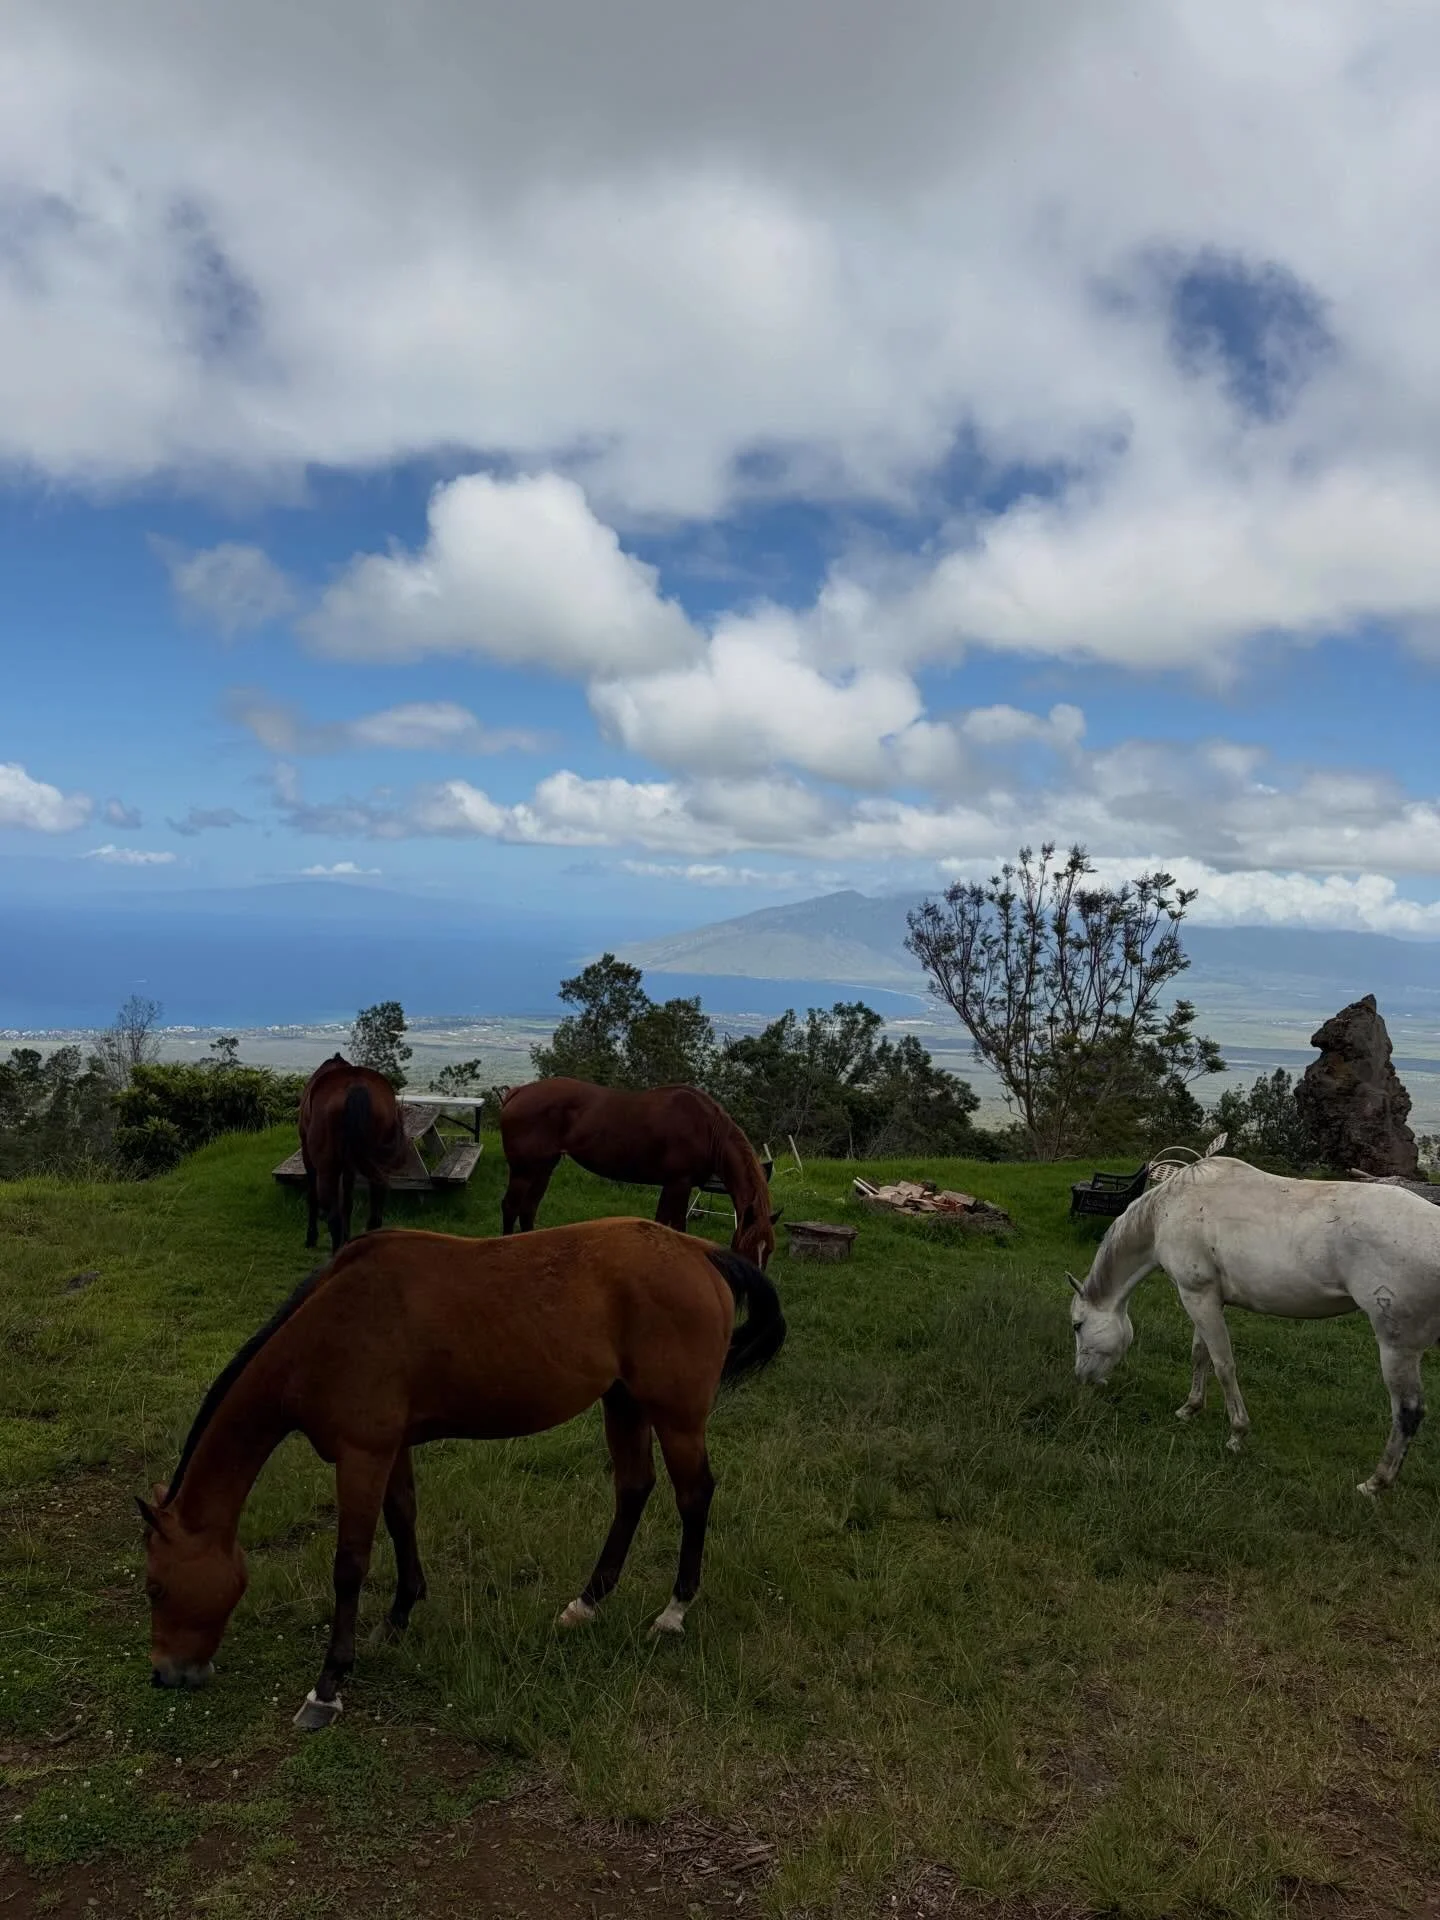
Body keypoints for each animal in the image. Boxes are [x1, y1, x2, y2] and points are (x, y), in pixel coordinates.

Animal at [136, 1217, 787, 1730]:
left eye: (155, 1586)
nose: (165, 1674)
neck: (328, 1327)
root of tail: (699, 1251)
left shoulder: (362, 1454)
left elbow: (349, 1565)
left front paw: (329, 1685)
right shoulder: (391, 1448)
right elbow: (402, 1518)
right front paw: (399, 1615)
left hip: (676, 1417)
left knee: (693, 1496)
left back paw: (673, 1612)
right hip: (623, 1403)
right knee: (633, 1489)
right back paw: (587, 1603)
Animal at [297, 1053, 410, 1254]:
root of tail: (356, 1085)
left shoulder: (307, 1156)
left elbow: (312, 1197)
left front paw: (311, 1237)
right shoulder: (350, 1165)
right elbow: (348, 1202)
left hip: (326, 1168)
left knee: (333, 1217)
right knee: (374, 1215)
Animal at [499, 1078, 783, 1269]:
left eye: (769, 1251)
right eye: (745, 1248)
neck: (708, 1130)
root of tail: (518, 1092)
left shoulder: (671, 1184)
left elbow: (661, 1223)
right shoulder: (680, 1183)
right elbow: (676, 1226)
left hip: (544, 1168)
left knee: (528, 1208)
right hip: (524, 1171)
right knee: (511, 1207)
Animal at [1067, 1152, 1440, 1495]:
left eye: (1077, 1325)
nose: (1082, 1378)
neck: (1168, 1211)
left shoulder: (1197, 1296)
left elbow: (1223, 1365)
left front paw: (1237, 1433)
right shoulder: (1204, 1298)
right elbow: (1200, 1355)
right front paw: (1190, 1408)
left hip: (1397, 1347)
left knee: (1408, 1411)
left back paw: (1375, 1483)